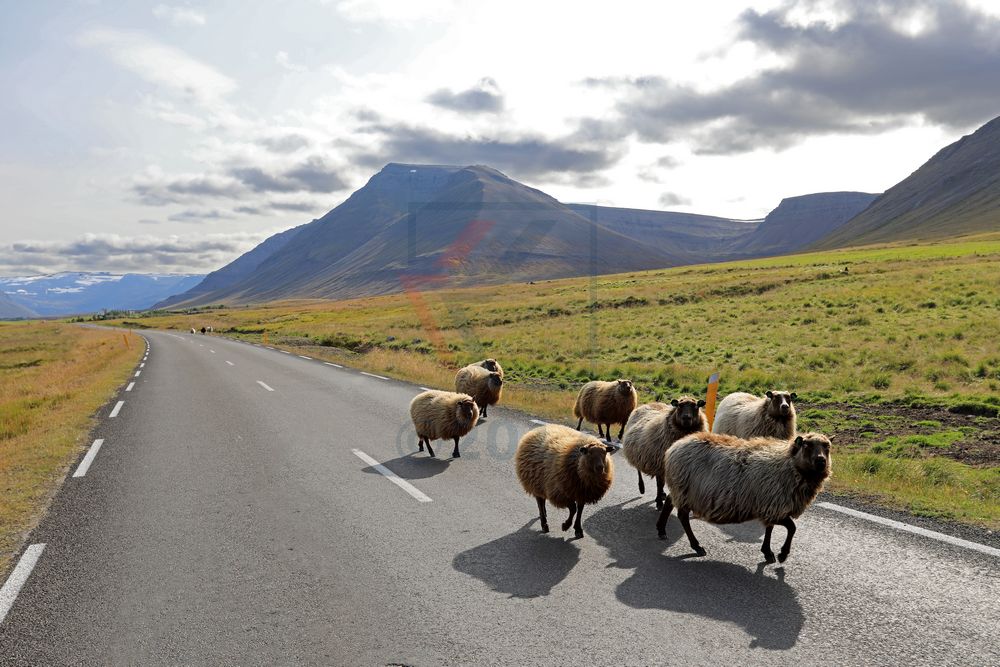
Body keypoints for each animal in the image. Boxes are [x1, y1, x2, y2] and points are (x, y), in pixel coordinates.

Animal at [657, 431, 831, 563]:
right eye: (807, 445)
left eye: (827, 446)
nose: (821, 461)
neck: (789, 464)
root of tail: (673, 447)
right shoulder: (773, 505)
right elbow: (792, 528)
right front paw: (782, 554)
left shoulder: (771, 506)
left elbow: (770, 528)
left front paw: (768, 552)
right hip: (684, 490)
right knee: (682, 516)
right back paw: (696, 546)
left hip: (680, 489)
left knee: (669, 502)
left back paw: (661, 530)